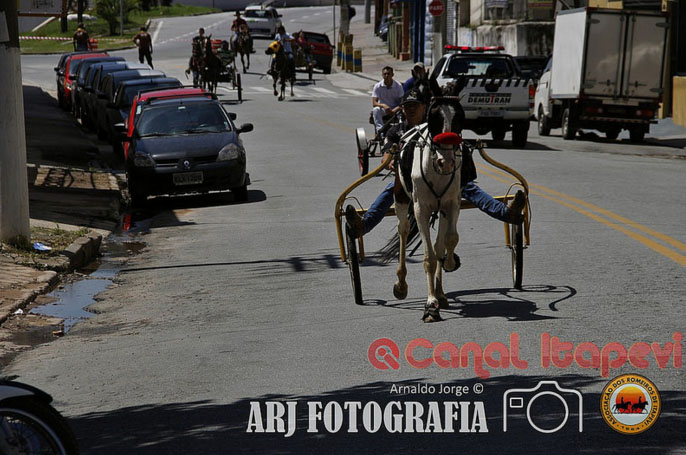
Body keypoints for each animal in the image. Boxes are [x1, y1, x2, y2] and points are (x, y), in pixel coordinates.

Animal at [336, 140, 536, 306]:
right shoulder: (420, 208)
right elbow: (429, 255)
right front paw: (431, 299)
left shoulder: (451, 204)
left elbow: (447, 242)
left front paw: (446, 272)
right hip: (400, 198)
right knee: (402, 229)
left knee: (438, 243)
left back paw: (515, 207)